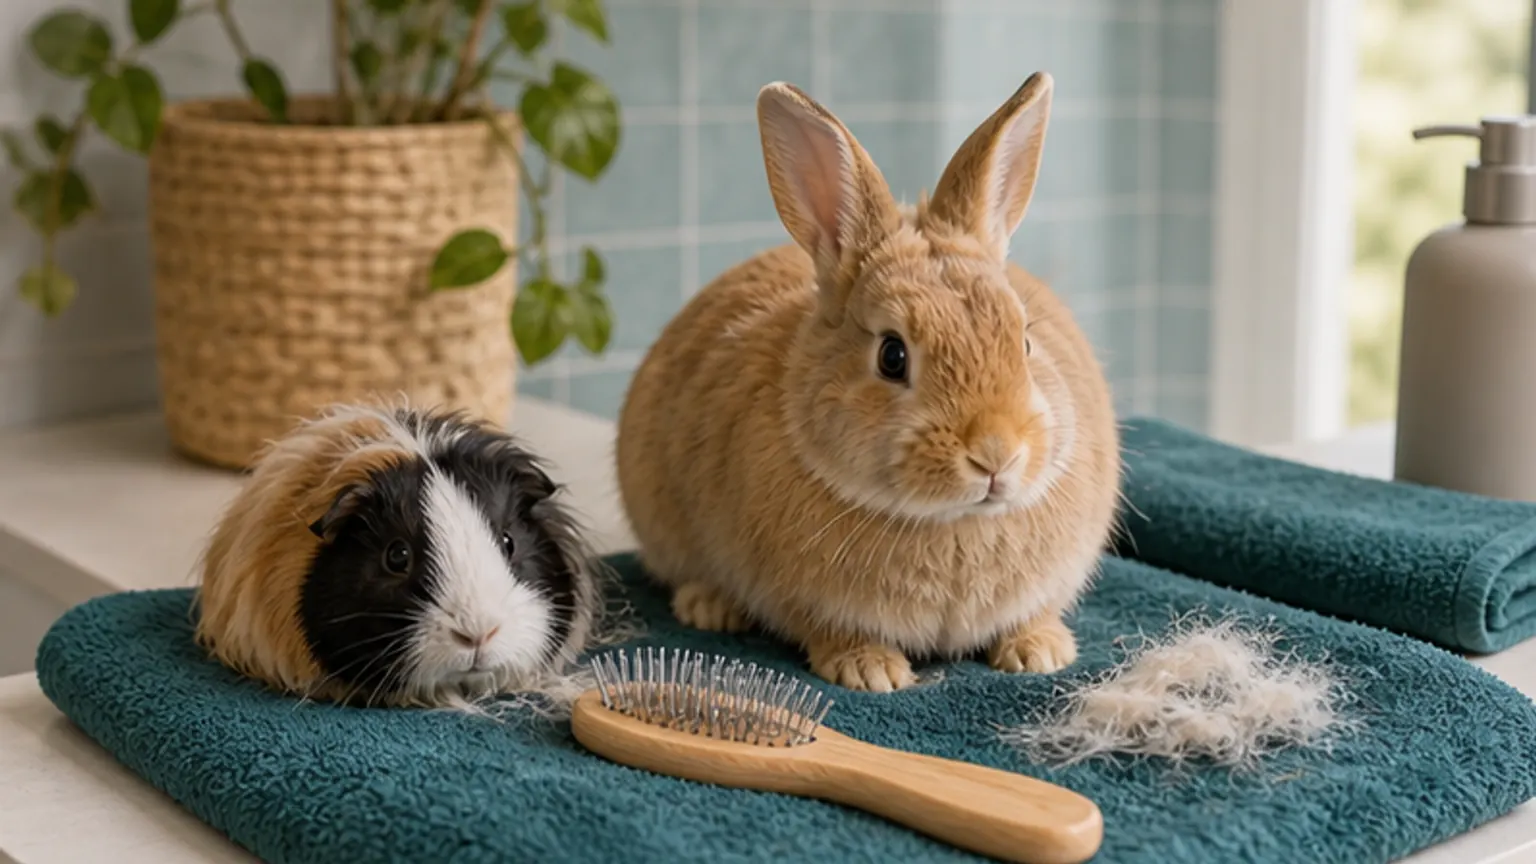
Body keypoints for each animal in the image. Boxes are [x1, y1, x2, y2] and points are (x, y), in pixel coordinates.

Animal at [615, 72, 1121, 693]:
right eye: (892, 356)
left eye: (1025, 340)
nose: (996, 455)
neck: (952, 521)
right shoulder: (806, 600)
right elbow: (831, 629)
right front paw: (871, 671)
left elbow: (1031, 615)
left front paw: (1040, 652)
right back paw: (709, 607)